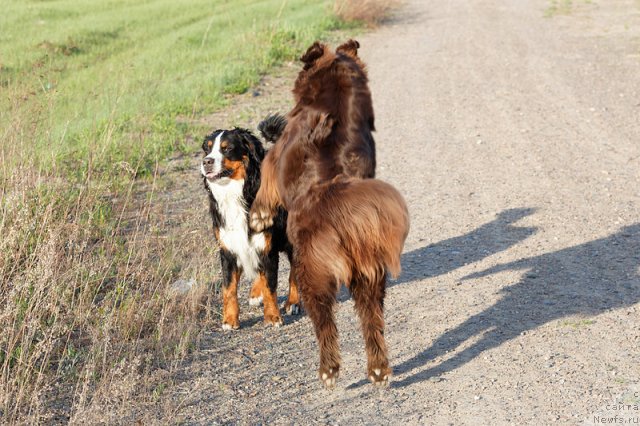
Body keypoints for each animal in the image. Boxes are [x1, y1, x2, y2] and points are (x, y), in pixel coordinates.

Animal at [200, 115, 300, 330]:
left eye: (227, 148)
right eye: (207, 148)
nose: (206, 162)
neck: (236, 193)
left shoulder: (267, 245)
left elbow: (271, 284)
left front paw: (273, 317)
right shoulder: (228, 247)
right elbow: (228, 288)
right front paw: (229, 320)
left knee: (294, 272)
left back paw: (293, 302)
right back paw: (256, 294)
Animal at [251, 41, 410, 388]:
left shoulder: (276, 155)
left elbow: (265, 186)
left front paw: (258, 216)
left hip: (313, 270)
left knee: (324, 321)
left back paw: (328, 369)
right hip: (369, 273)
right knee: (371, 318)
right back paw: (378, 369)